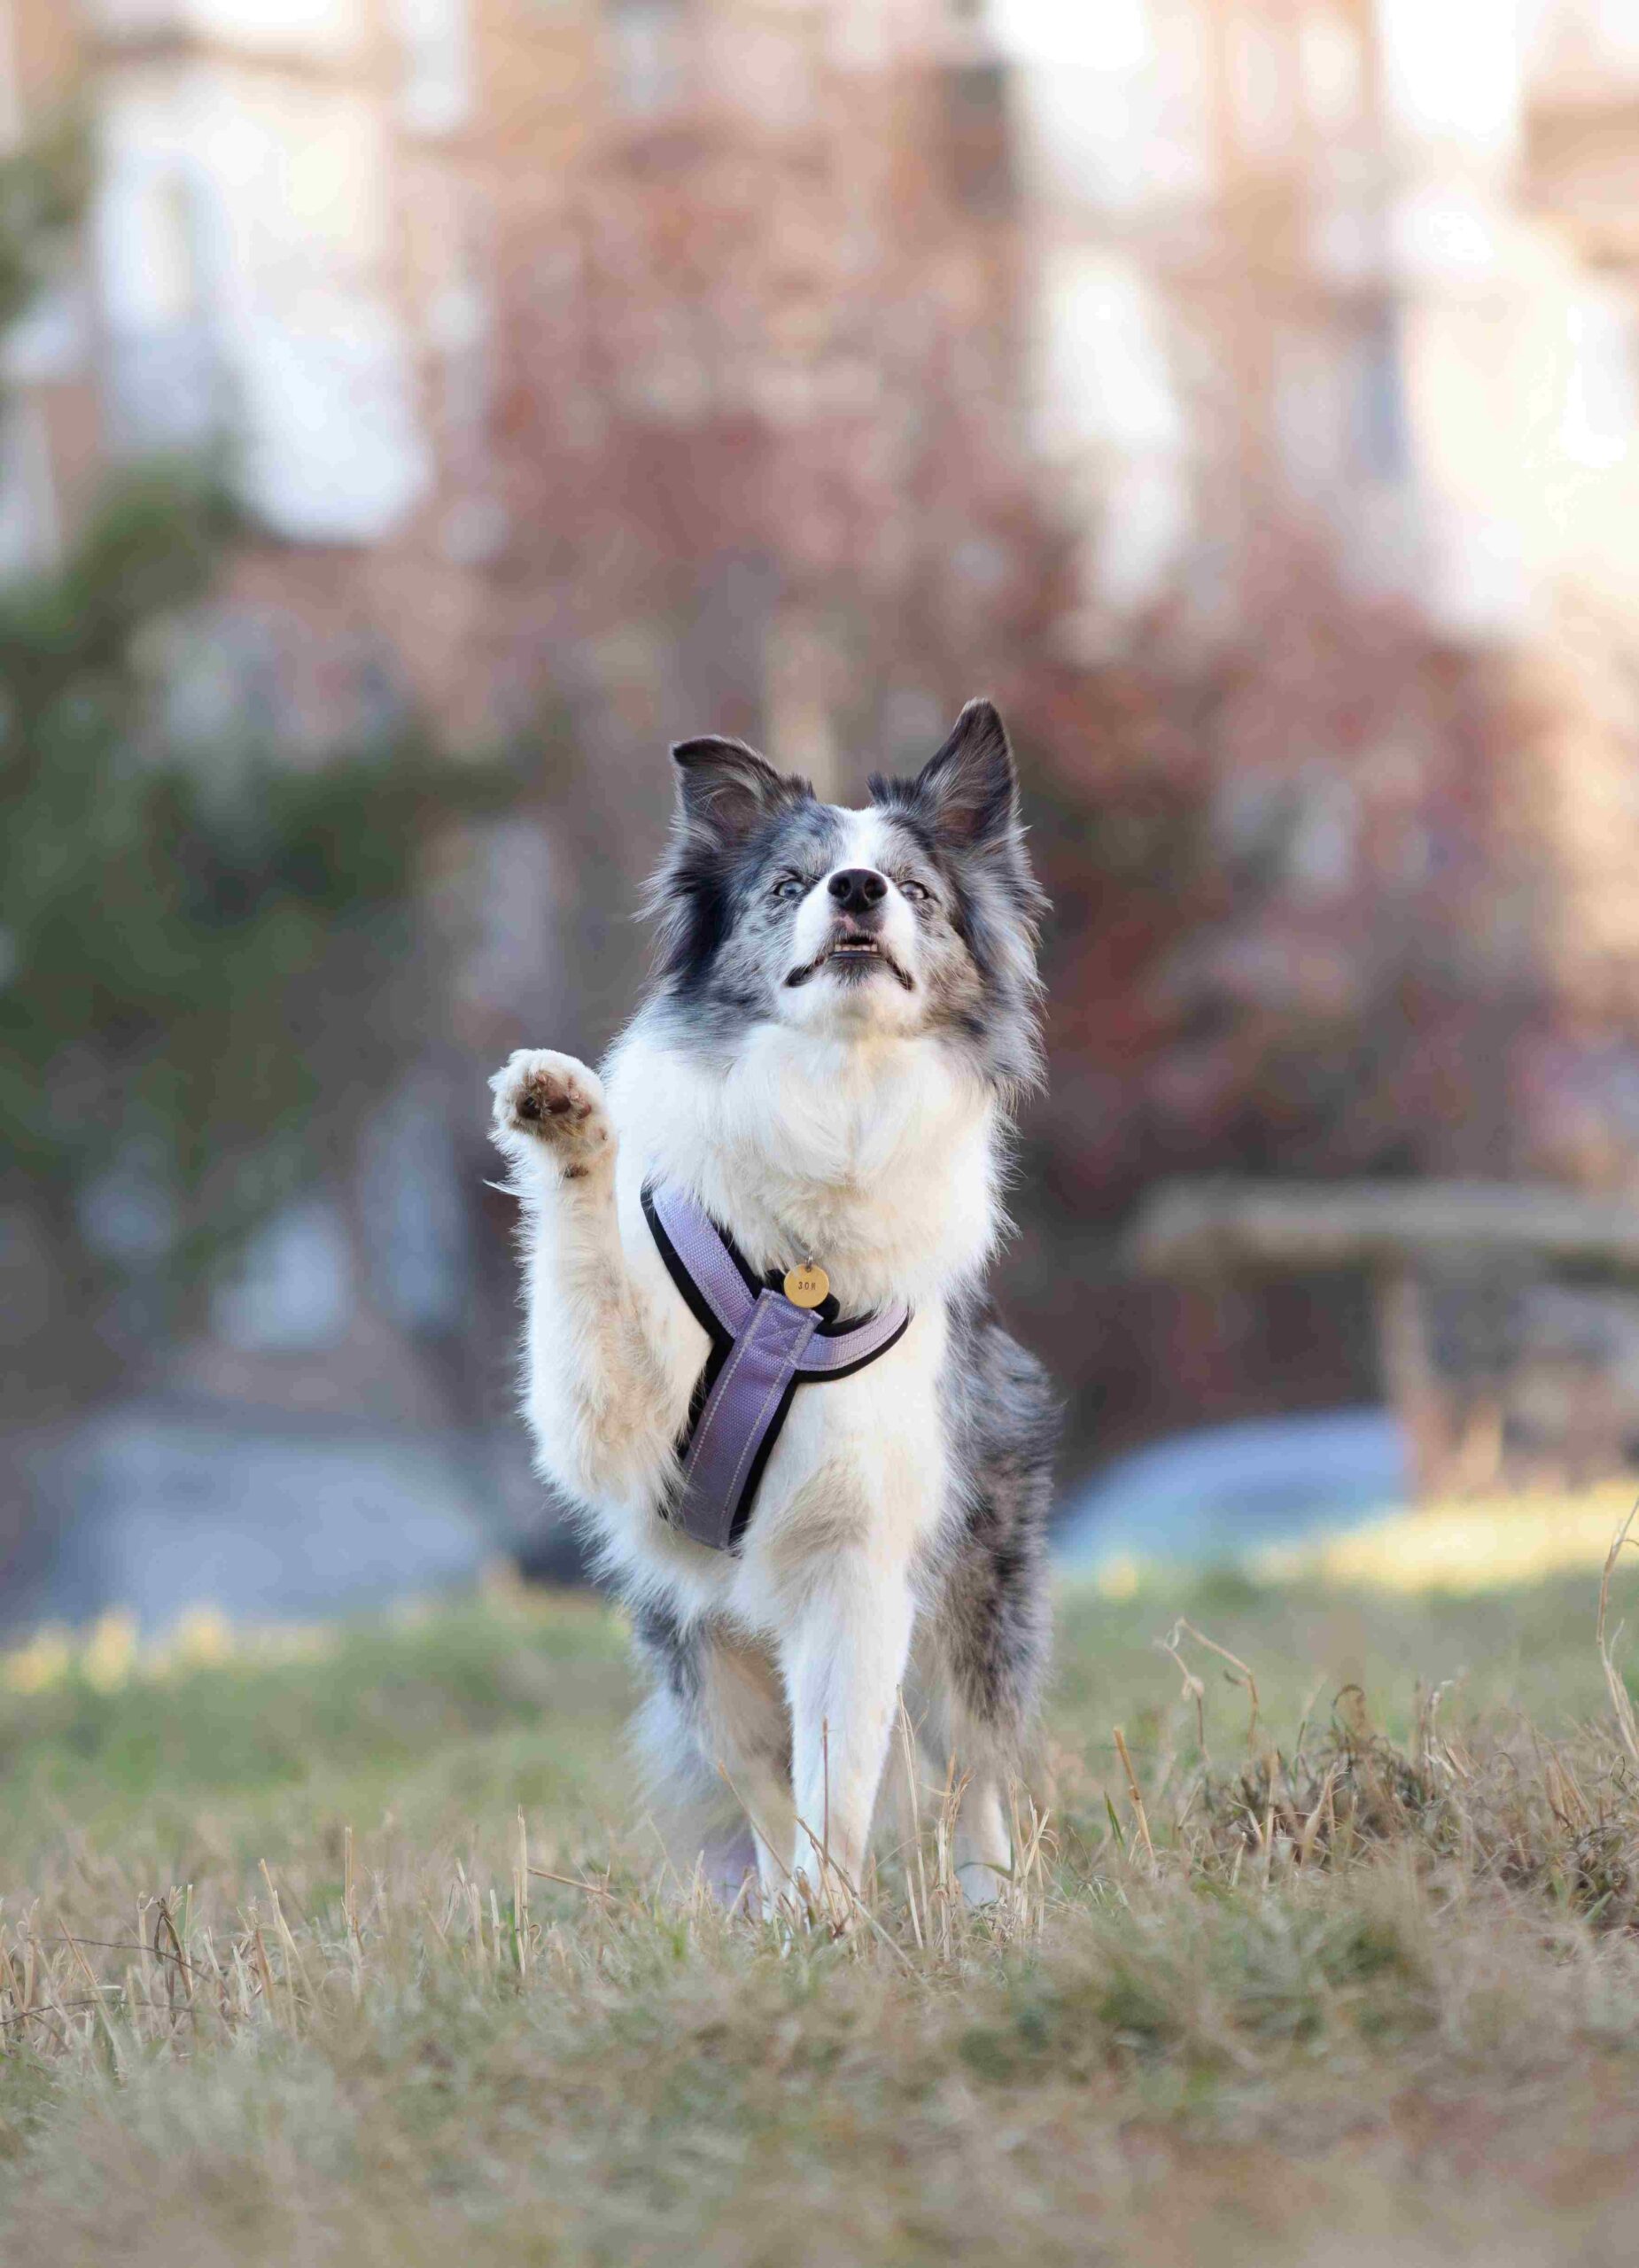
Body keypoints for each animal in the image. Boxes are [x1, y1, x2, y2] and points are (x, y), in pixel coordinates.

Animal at [487, 698, 1056, 1905]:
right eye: (792, 882)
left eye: (913, 887)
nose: (858, 889)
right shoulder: (614, 1430)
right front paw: (565, 1125)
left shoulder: (860, 1551)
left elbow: (837, 1774)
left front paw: (832, 1917)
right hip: (691, 1638)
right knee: (751, 1770)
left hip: (979, 1593)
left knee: (970, 1770)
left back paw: (990, 1906)